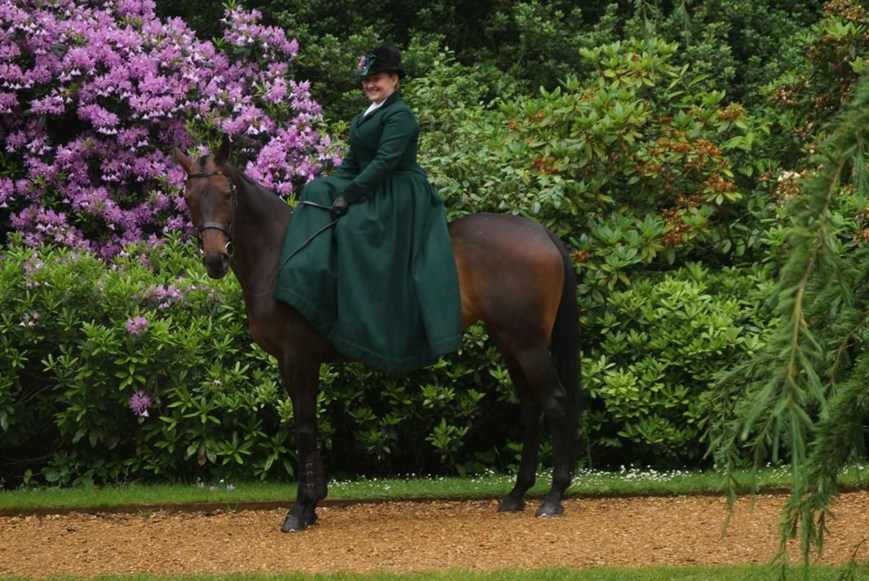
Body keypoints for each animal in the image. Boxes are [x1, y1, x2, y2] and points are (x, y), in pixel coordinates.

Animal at [170, 140, 580, 532]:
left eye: (227, 194)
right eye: (189, 198)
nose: (215, 260)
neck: (279, 255)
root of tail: (539, 231)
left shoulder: (299, 358)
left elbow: (304, 427)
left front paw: (300, 510)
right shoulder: (291, 363)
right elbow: (310, 424)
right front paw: (313, 503)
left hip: (527, 345)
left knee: (556, 402)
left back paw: (554, 496)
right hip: (509, 342)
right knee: (530, 407)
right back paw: (518, 493)